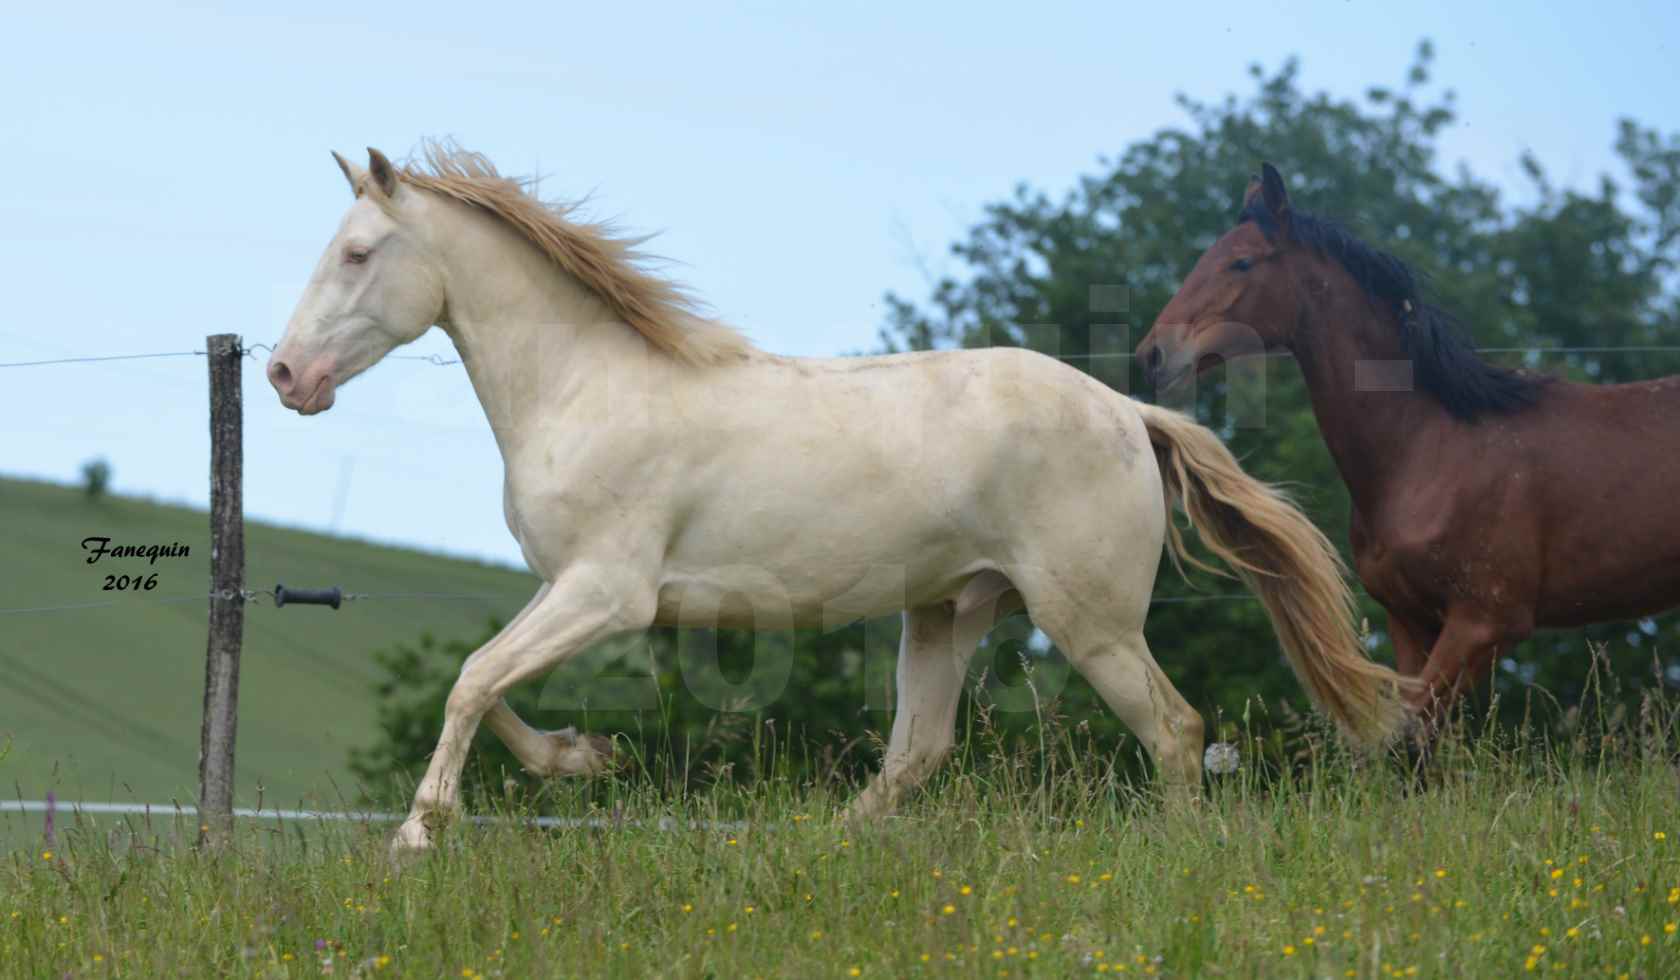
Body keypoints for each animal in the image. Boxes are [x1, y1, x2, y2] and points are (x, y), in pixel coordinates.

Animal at [268, 143, 1411, 850]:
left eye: (359, 253)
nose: (285, 375)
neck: (585, 386)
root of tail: (1130, 412)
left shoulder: (608, 593)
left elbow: (470, 681)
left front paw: (416, 835)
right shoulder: (566, 589)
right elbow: (488, 681)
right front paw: (585, 757)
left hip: (1087, 620)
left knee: (1173, 731)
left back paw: (1173, 851)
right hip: (949, 609)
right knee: (918, 753)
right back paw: (824, 846)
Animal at [1135, 164, 1680, 726]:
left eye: (1241, 261)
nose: (1152, 355)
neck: (1427, 448)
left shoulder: (1486, 622)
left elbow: (1406, 732)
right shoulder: (1410, 621)